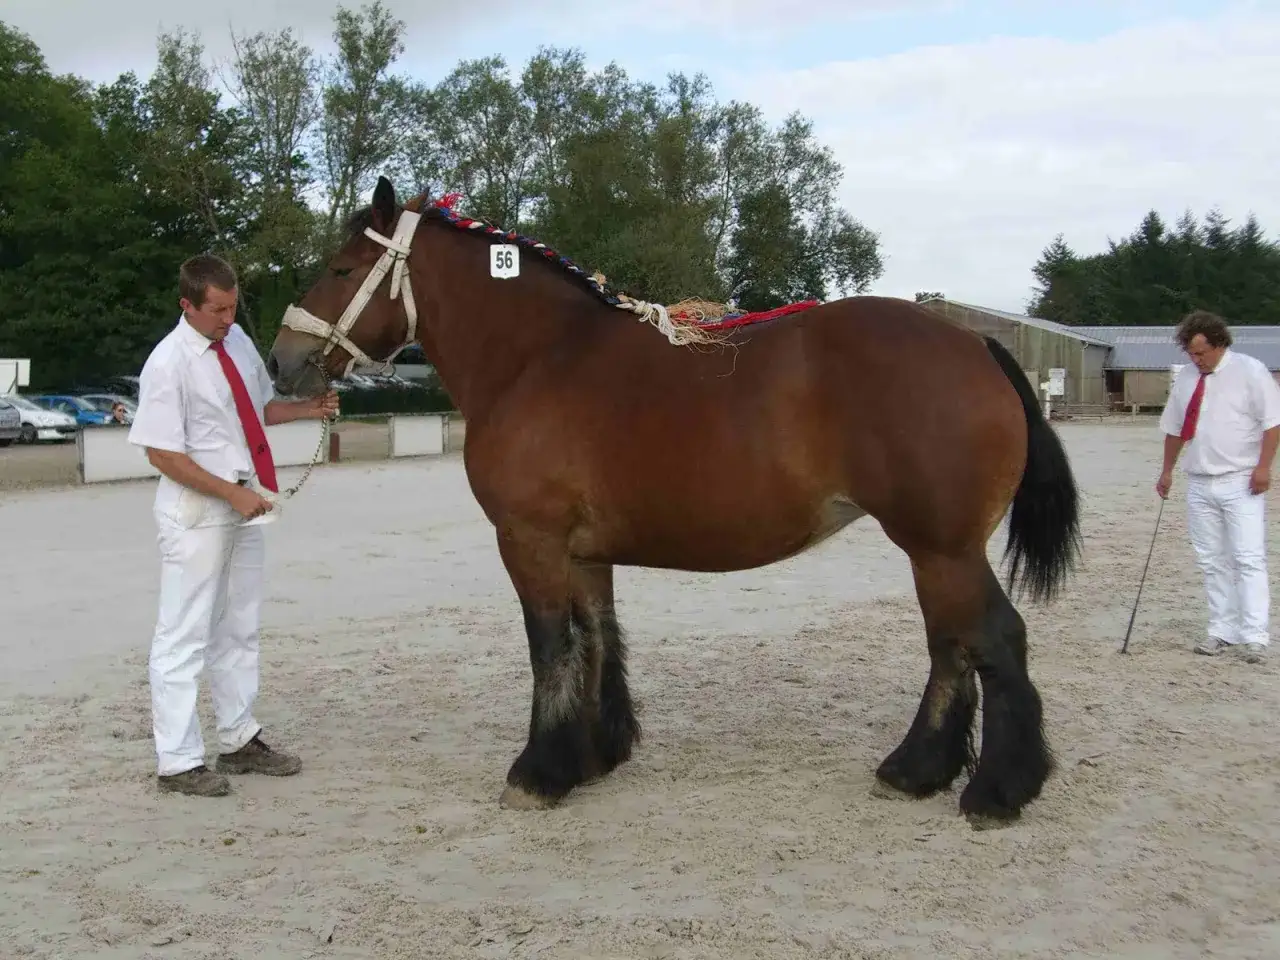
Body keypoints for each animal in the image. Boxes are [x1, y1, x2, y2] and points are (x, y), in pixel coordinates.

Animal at [267, 175, 1082, 828]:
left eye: (341, 268)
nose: (281, 360)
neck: (539, 357)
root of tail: (976, 345)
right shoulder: (583, 552)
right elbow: (596, 639)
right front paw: (592, 756)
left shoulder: (529, 540)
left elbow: (549, 647)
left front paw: (538, 774)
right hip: (933, 550)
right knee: (951, 647)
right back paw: (916, 772)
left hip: (941, 546)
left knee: (991, 640)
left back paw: (994, 791)